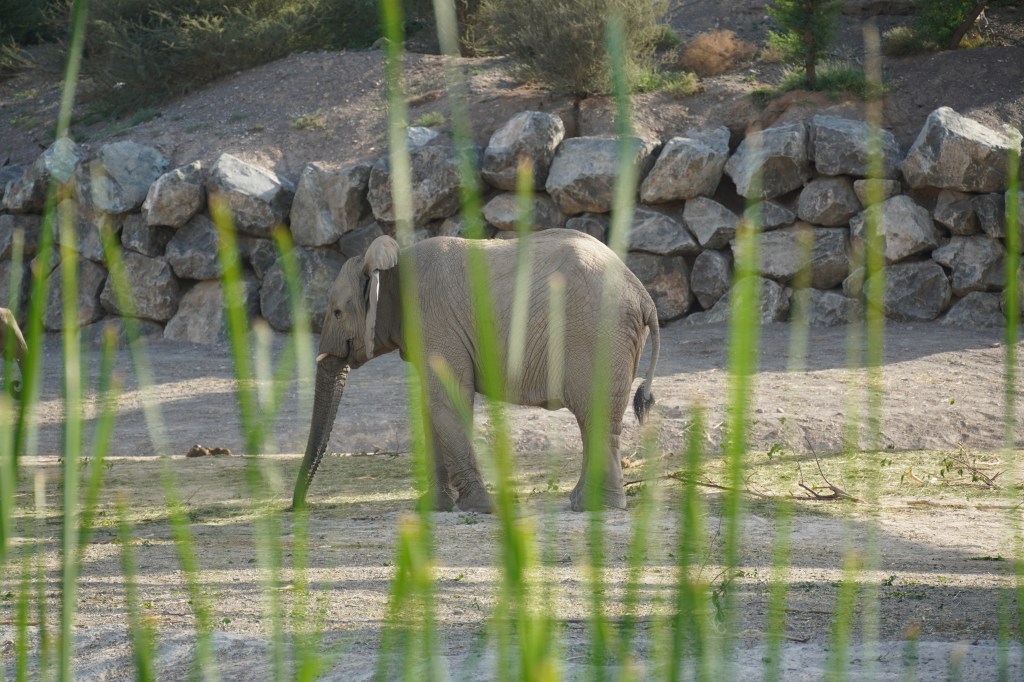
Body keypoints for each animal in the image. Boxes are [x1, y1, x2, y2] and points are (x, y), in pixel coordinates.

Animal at [292, 228, 660, 513]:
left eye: (337, 312)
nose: (295, 507)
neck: (393, 263)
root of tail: (643, 295)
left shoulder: (435, 322)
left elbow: (449, 402)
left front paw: (480, 509)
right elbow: (432, 408)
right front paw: (434, 507)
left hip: (598, 334)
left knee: (594, 414)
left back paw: (595, 507)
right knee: (594, 419)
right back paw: (585, 503)